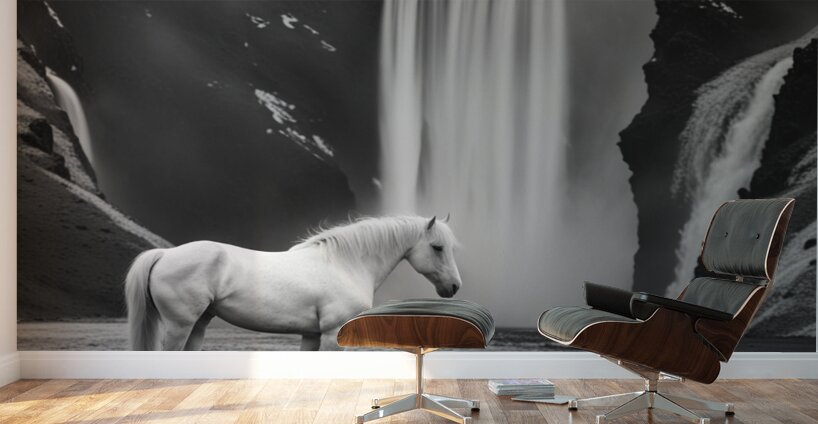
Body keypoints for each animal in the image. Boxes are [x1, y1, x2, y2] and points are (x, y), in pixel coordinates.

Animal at [124, 215, 462, 351]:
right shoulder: (331, 335)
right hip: (179, 325)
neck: (344, 264)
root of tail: (165, 254)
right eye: (437, 247)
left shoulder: (310, 335)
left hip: (199, 324)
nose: (454, 287)